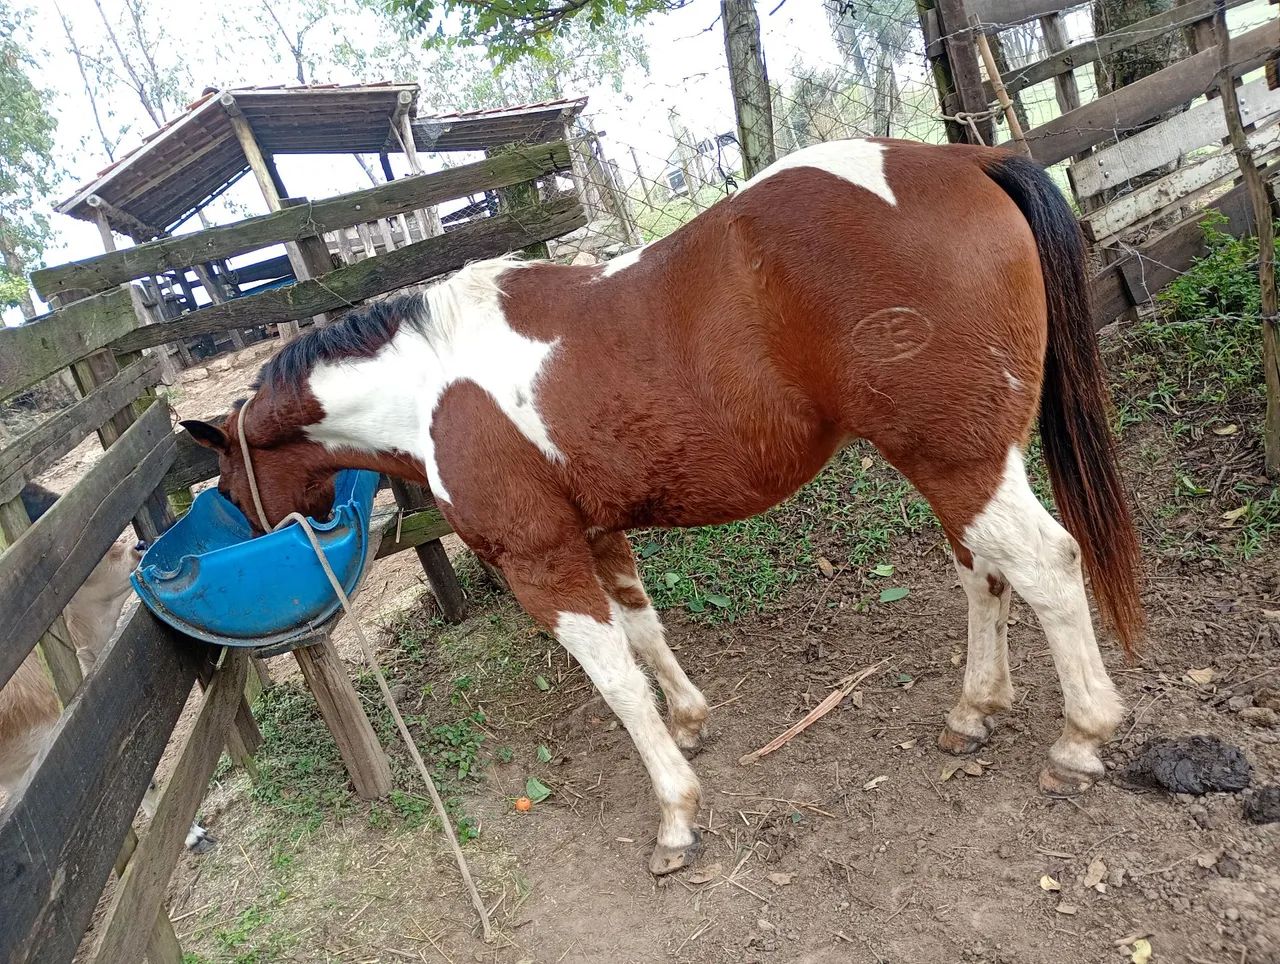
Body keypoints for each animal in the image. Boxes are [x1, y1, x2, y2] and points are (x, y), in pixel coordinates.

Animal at [182, 137, 1144, 876]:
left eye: (227, 484)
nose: (261, 532)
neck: (431, 383)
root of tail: (966, 157)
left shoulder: (541, 561)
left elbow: (614, 680)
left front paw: (676, 813)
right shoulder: (601, 534)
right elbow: (645, 634)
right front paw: (688, 721)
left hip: (958, 461)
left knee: (1047, 565)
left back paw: (1080, 739)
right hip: (960, 465)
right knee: (984, 573)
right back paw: (974, 711)